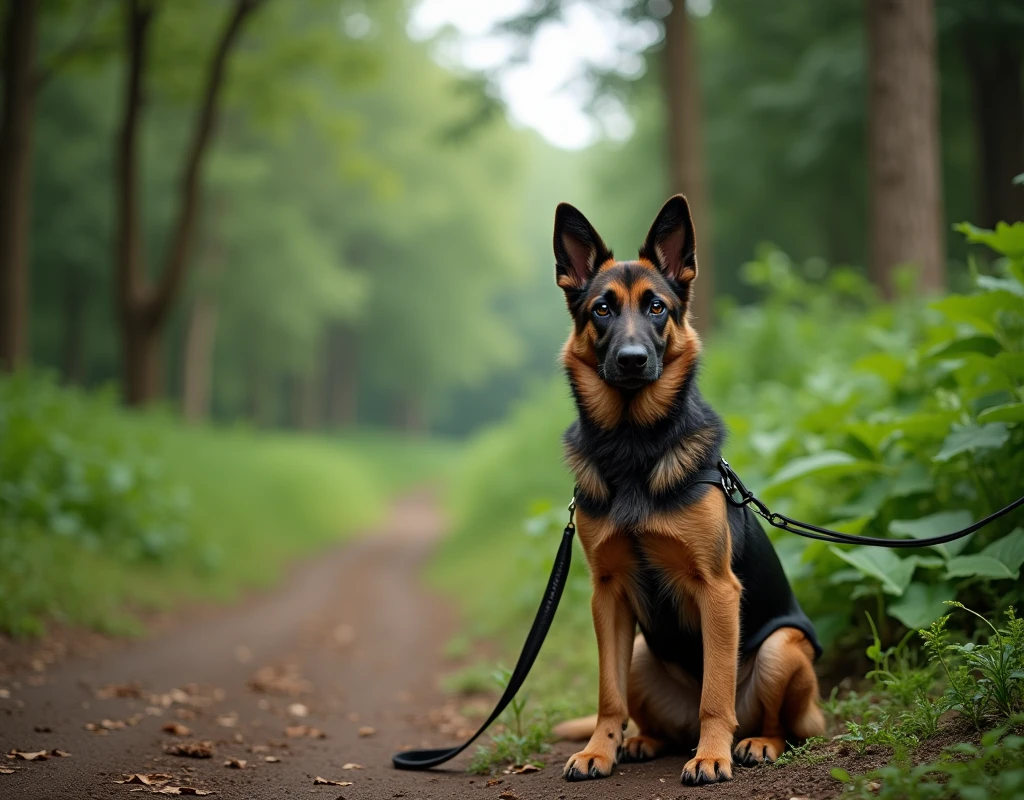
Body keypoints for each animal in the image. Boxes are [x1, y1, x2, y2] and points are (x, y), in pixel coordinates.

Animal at [552, 196, 823, 782]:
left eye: (657, 307)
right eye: (602, 310)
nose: (632, 359)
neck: (633, 447)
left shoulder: (717, 590)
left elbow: (714, 695)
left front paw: (712, 755)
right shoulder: (607, 594)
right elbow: (608, 697)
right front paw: (599, 750)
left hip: (781, 649)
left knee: (777, 724)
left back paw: (754, 743)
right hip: (638, 653)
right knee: (652, 719)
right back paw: (641, 740)